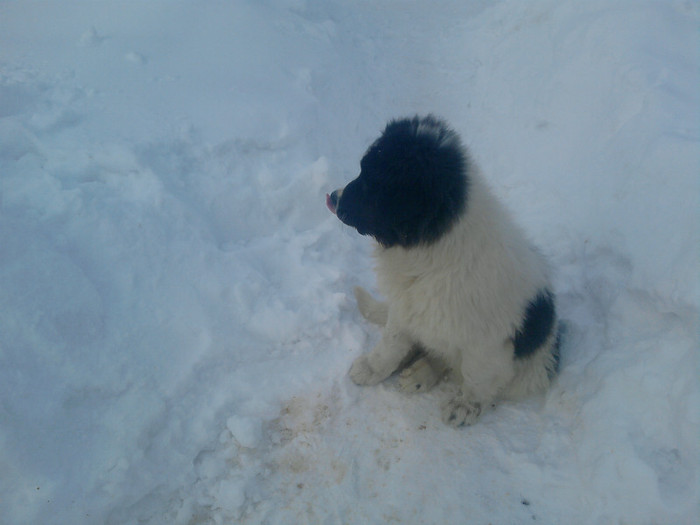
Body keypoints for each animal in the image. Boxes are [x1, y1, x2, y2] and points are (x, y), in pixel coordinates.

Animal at [326, 115, 556, 426]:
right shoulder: (405, 306)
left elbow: (477, 375)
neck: (431, 250)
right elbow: (391, 342)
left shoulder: (487, 342)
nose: (332, 197)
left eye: (371, 185)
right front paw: (373, 368)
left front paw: (465, 406)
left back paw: (422, 374)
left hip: (534, 367)